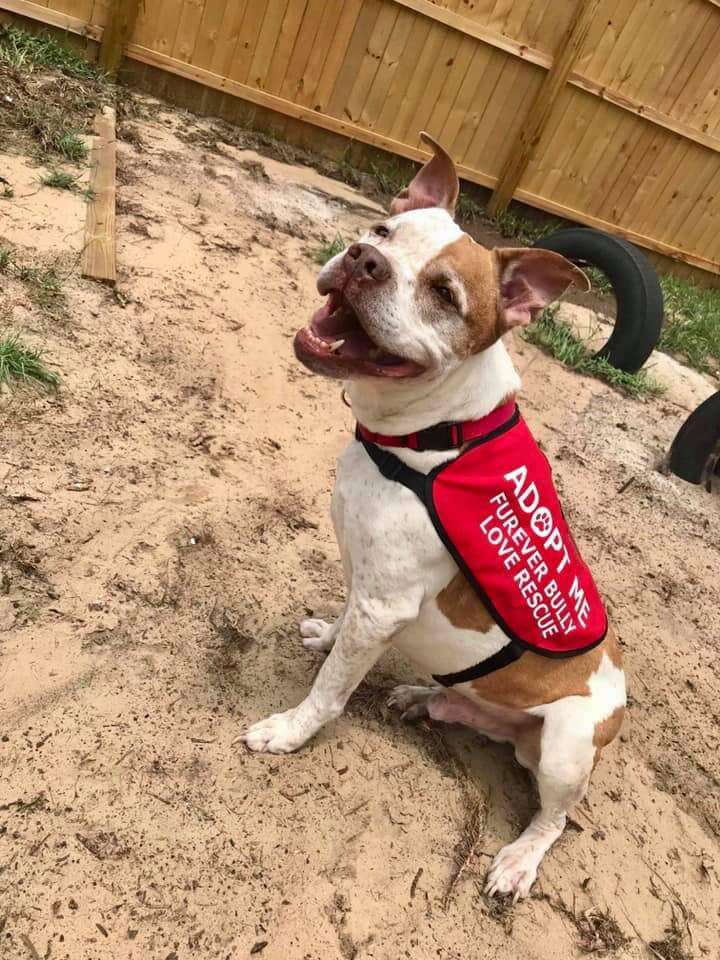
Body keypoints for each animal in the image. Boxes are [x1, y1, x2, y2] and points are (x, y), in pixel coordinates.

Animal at [242, 133, 624, 900]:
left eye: (445, 294)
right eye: (384, 231)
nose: (364, 259)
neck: (431, 434)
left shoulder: (385, 602)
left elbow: (329, 692)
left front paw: (290, 731)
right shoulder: (367, 586)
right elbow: (342, 636)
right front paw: (327, 636)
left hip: (567, 748)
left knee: (556, 819)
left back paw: (518, 860)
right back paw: (429, 699)